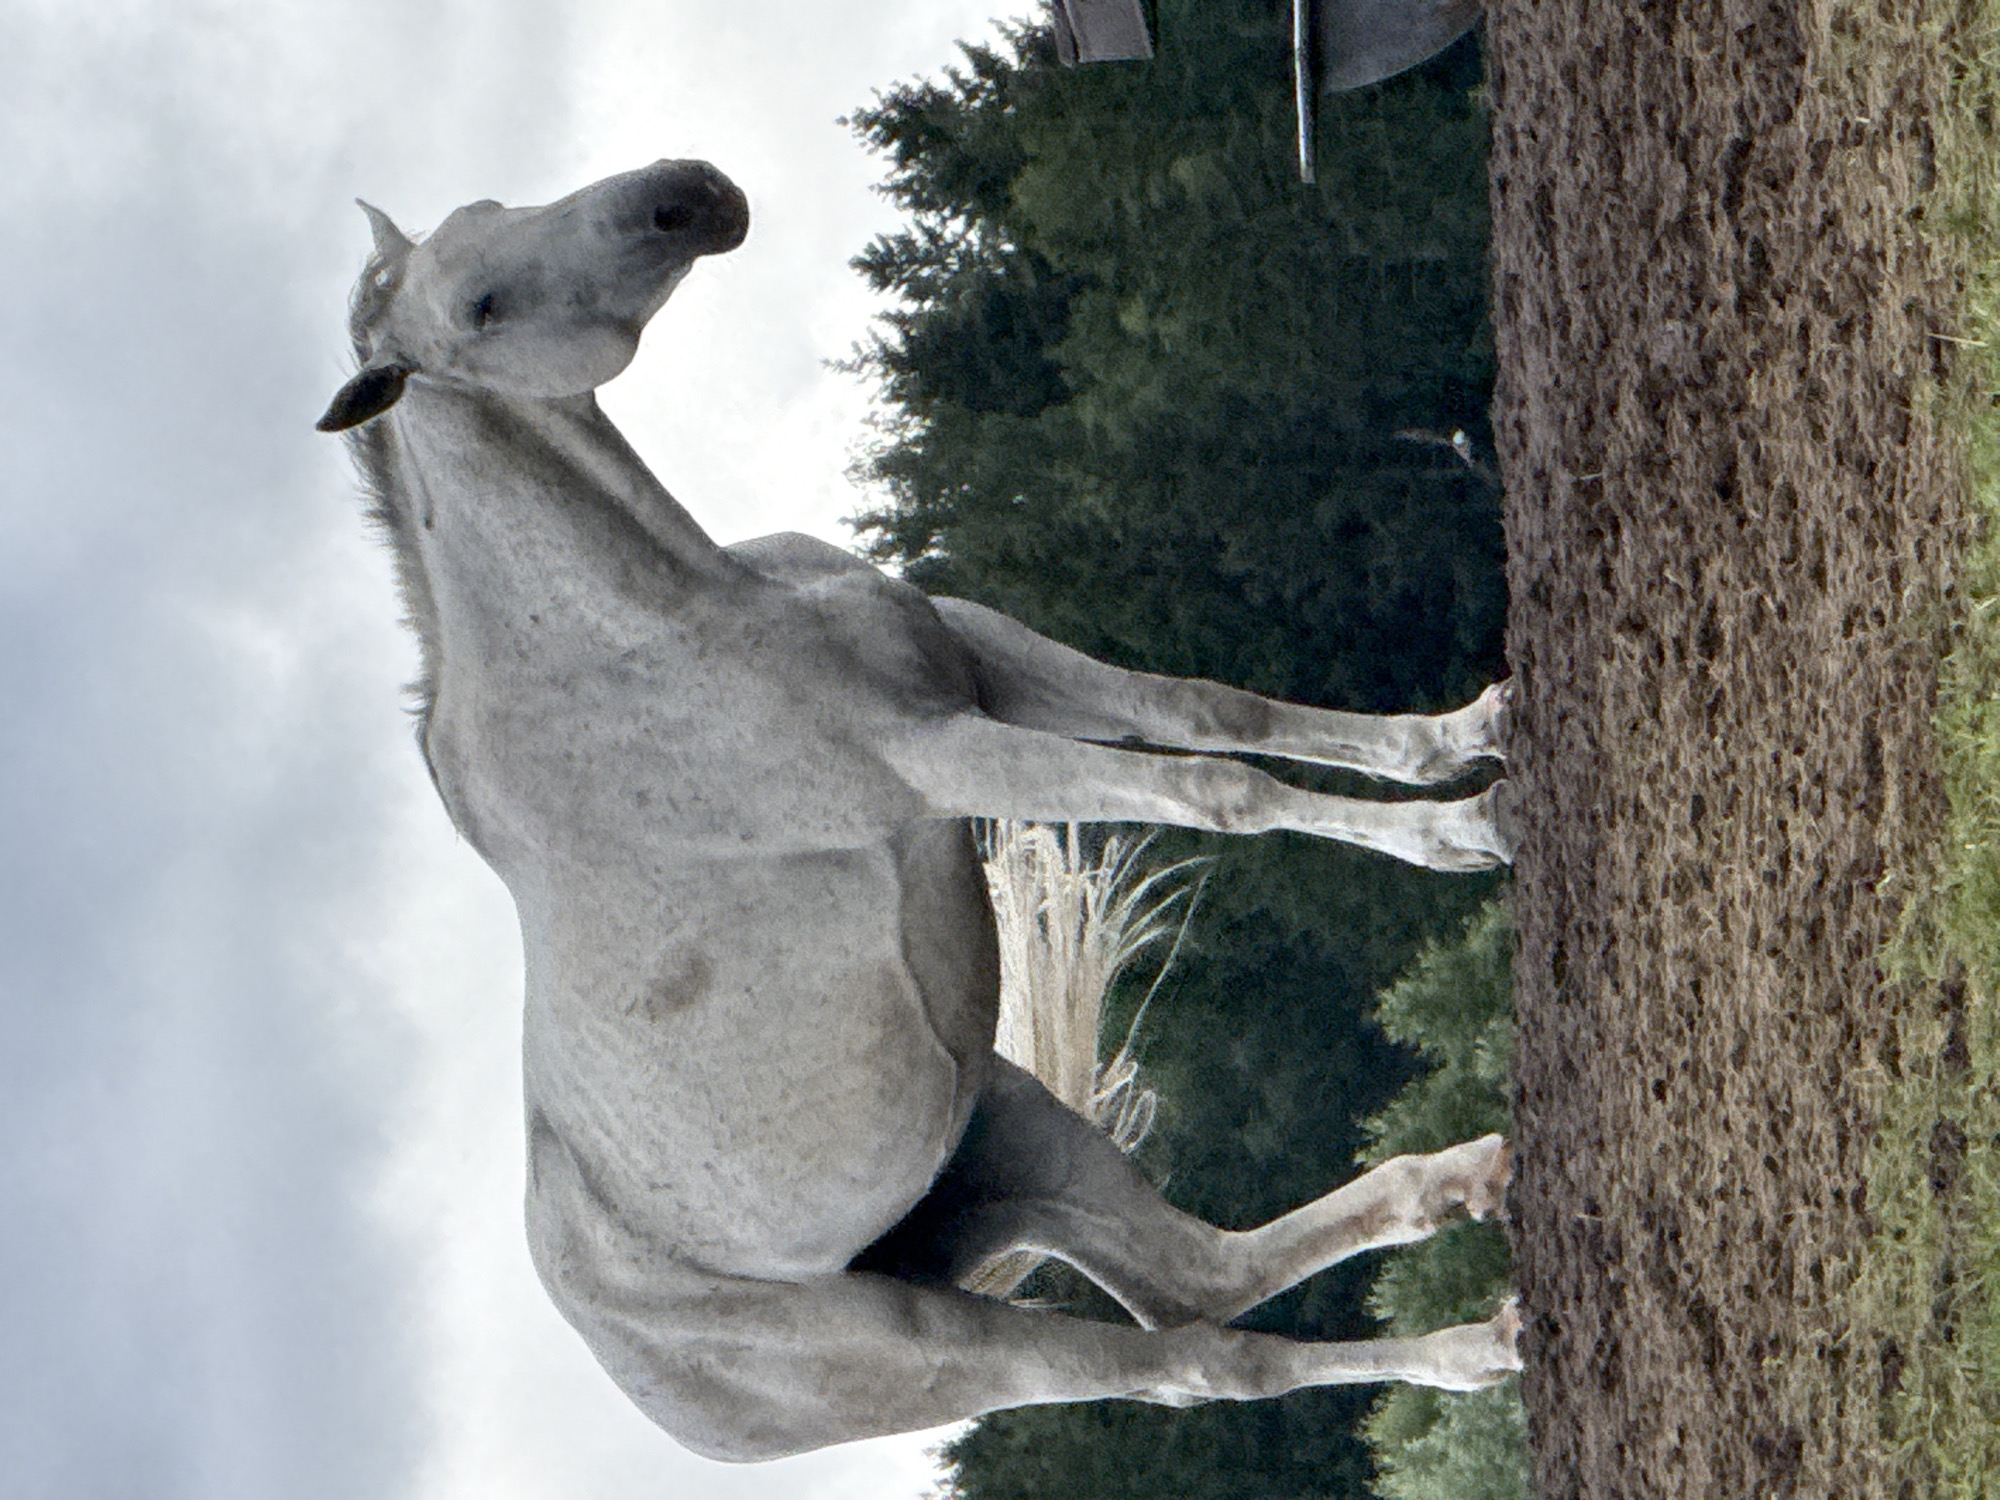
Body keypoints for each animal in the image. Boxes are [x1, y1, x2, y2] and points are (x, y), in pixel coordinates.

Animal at [318, 158, 1522, 1462]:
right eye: (479, 307)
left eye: (491, 210)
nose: (684, 196)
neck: (651, 634)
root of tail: (638, 1364)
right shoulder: (948, 759)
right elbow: (1222, 790)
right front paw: (1466, 831)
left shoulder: (984, 663)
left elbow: (1212, 709)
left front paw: (1468, 738)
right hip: (952, 1347)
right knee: (1201, 1359)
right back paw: (1480, 1341)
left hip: (1007, 1126)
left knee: (1200, 1277)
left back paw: (1472, 1184)